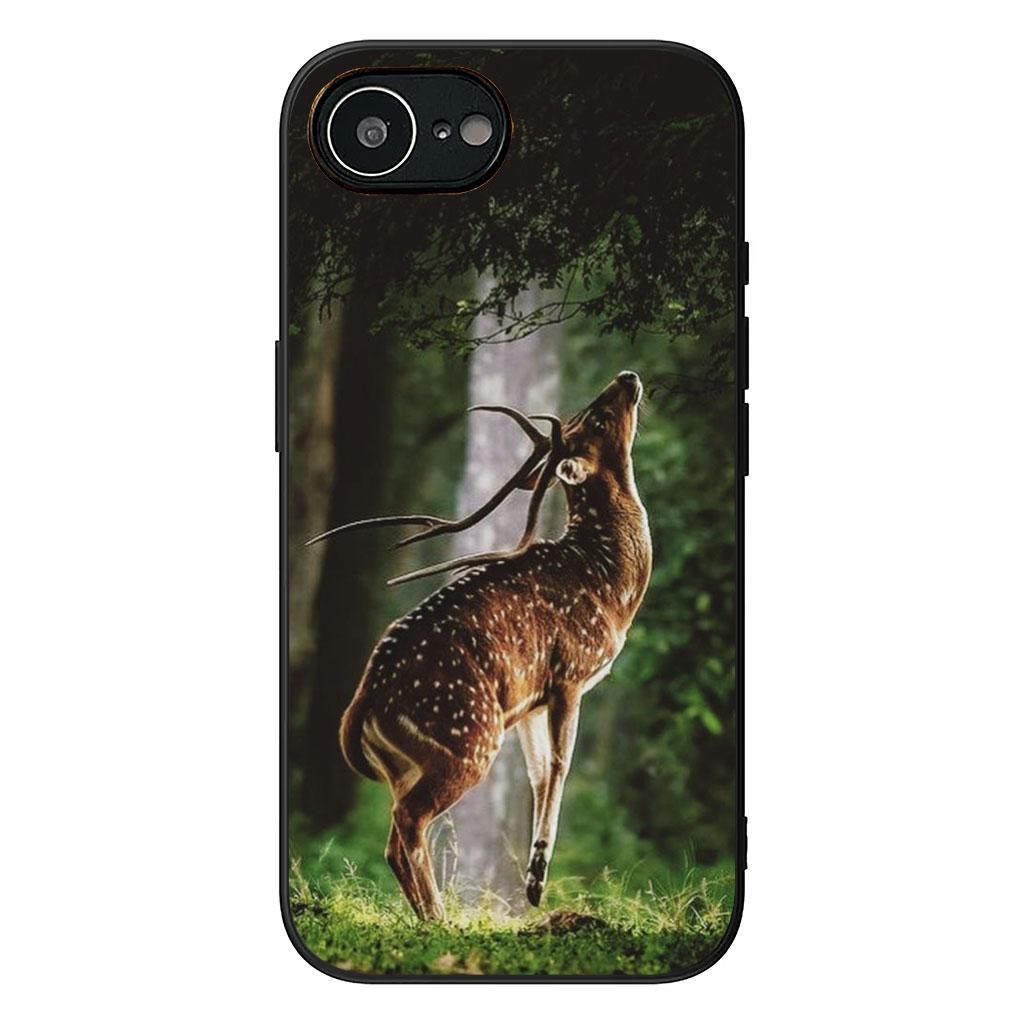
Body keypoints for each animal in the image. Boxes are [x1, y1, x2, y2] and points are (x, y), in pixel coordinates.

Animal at [307, 371, 652, 920]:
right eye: (596, 417)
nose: (627, 376)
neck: (610, 585)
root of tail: (363, 704)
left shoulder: (532, 699)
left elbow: (538, 774)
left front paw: (533, 880)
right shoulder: (571, 671)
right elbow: (561, 766)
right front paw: (536, 882)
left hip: (411, 763)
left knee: (393, 837)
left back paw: (429, 917)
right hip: (468, 739)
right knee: (410, 822)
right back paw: (440, 918)